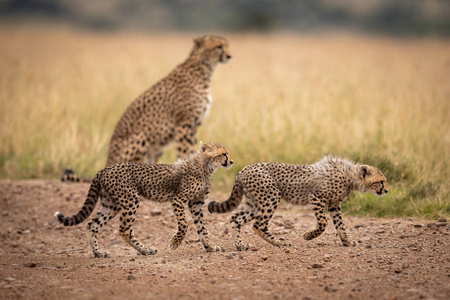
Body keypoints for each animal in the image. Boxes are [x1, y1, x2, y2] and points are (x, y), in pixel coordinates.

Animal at [54, 142, 234, 258]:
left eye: (228, 153)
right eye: (223, 154)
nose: (231, 161)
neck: (206, 166)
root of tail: (103, 169)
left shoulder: (196, 203)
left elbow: (202, 228)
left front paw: (210, 247)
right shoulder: (178, 199)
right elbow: (184, 224)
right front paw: (174, 243)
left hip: (110, 204)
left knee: (92, 225)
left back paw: (99, 253)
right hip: (130, 200)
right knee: (124, 229)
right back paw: (145, 250)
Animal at [62, 34, 232, 182]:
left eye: (227, 45)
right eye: (219, 46)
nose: (230, 56)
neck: (205, 68)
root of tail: (107, 163)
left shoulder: (194, 125)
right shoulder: (184, 123)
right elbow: (185, 151)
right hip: (141, 137)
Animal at [207, 156, 386, 252]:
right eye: (381, 181)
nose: (386, 190)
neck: (350, 177)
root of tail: (243, 169)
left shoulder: (334, 205)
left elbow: (340, 225)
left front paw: (347, 242)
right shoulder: (315, 197)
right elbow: (323, 223)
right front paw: (308, 236)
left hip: (254, 203)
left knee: (235, 219)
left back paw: (241, 245)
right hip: (271, 196)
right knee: (258, 225)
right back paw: (280, 242)